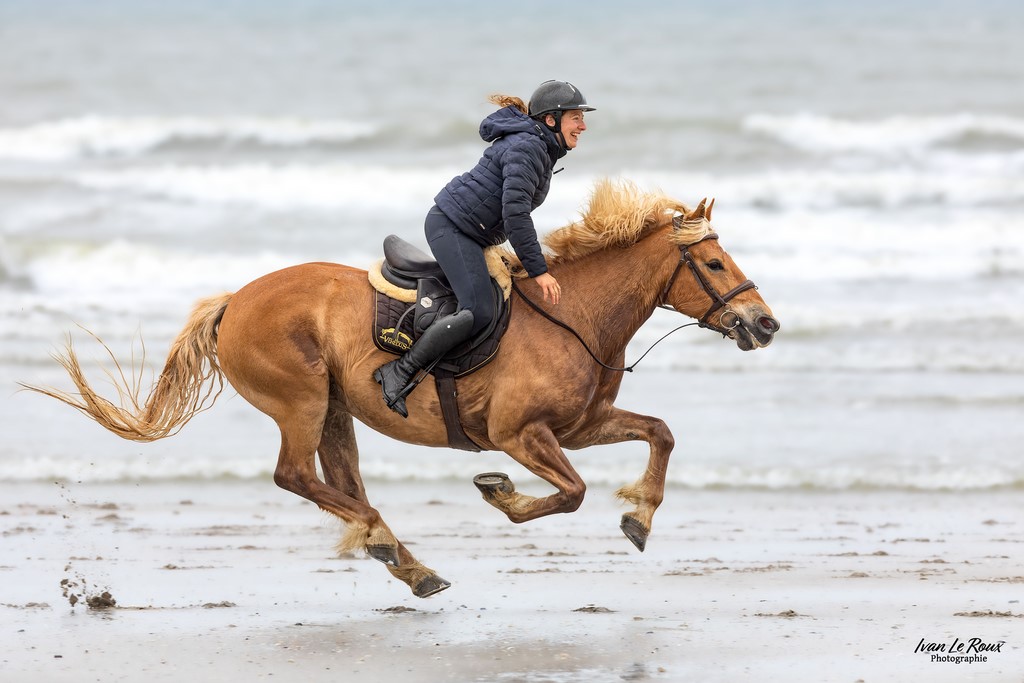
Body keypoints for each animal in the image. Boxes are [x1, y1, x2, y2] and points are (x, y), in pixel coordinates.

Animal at [22, 180, 774, 598]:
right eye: (713, 262)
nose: (764, 324)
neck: (578, 315)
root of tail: (236, 299)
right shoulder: (519, 433)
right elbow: (571, 492)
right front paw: (501, 494)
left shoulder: (581, 425)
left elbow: (659, 433)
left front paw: (639, 517)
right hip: (300, 401)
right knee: (297, 475)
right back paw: (391, 544)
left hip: (332, 408)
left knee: (336, 481)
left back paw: (401, 558)